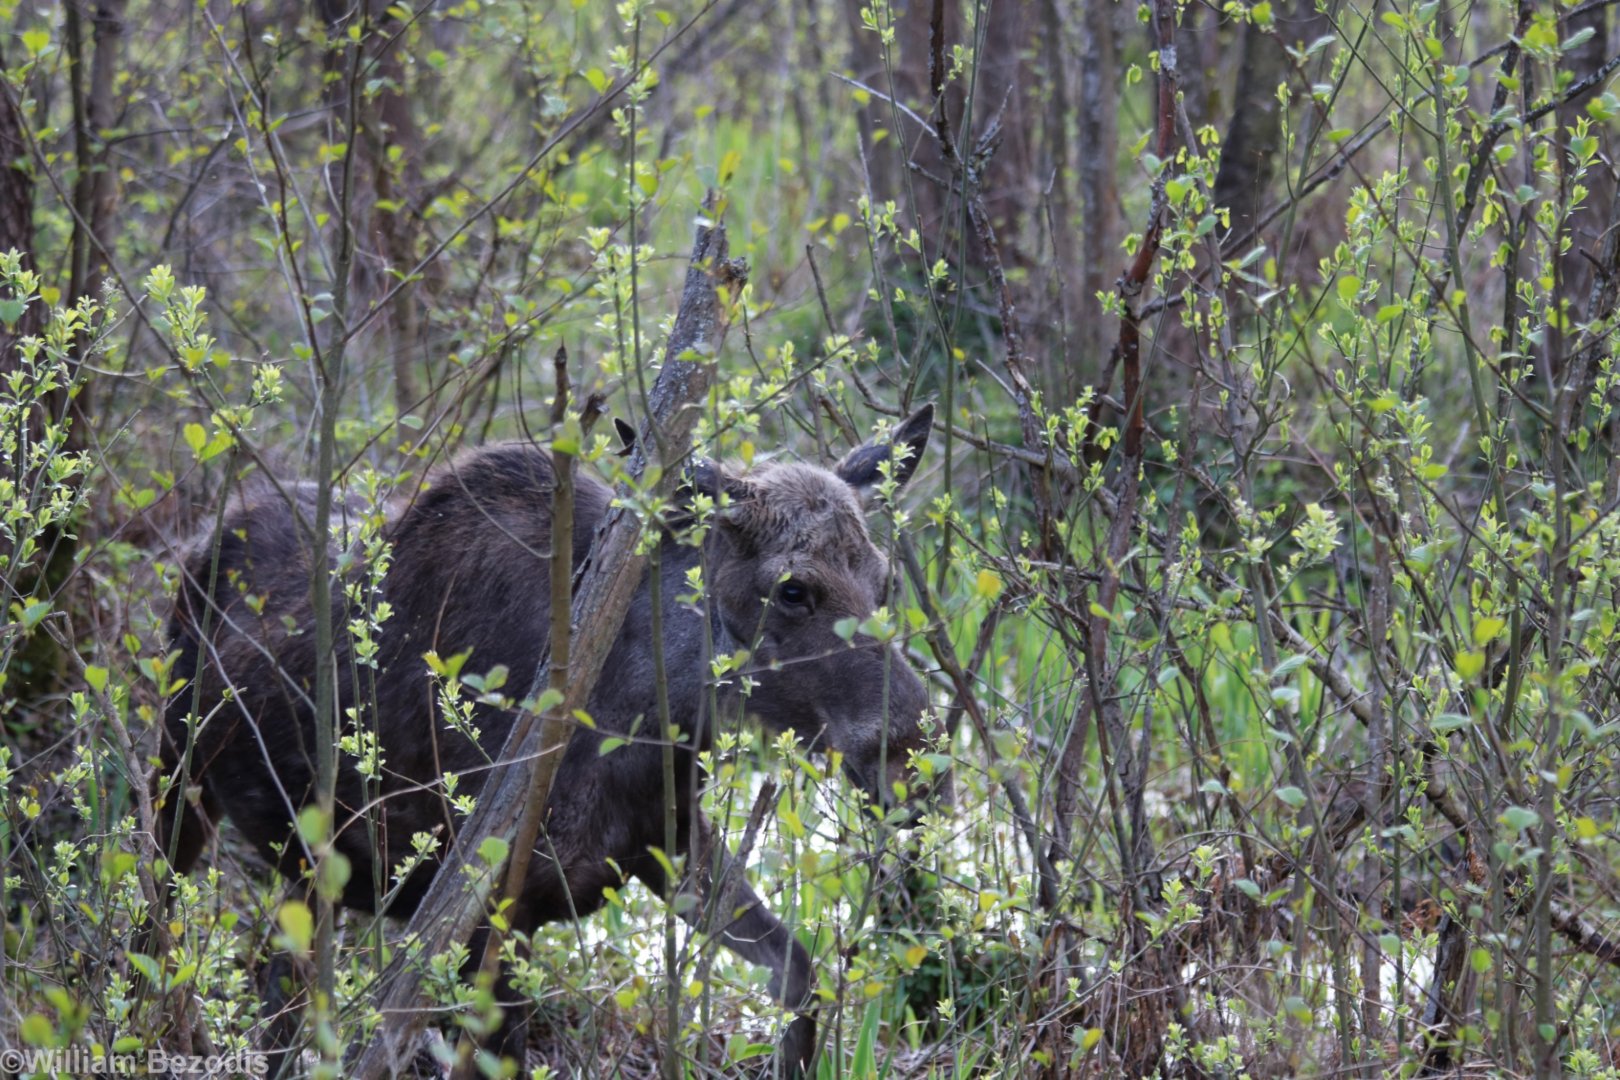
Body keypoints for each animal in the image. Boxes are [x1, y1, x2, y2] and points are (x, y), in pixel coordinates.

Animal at [153, 404, 938, 1076]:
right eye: (793, 589)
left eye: (885, 580)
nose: (913, 759)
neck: (646, 712)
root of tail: (200, 538)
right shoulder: (488, 915)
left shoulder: (667, 845)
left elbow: (800, 974)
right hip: (176, 775)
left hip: (305, 861)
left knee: (282, 978)